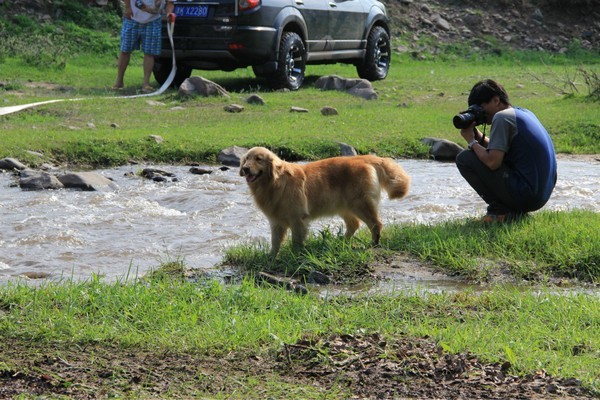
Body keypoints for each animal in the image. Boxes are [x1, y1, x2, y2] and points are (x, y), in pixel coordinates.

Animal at [241, 147, 410, 256]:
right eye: (247, 158)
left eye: (258, 159)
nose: (245, 168)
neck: (274, 183)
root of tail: (364, 157)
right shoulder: (276, 222)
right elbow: (275, 242)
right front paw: (271, 257)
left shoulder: (297, 219)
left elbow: (296, 241)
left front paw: (295, 255)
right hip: (344, 206)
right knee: (354, 224)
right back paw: (341, 242)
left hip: (360, 204)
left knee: (376, 224)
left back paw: (373, 244)